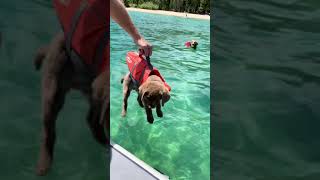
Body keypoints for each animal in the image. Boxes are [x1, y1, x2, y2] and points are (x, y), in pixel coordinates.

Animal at [33, 32, 109, 176]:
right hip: (53, 86)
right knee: (48, 130)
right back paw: (44, 163)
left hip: (88, 86)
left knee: (91, 118)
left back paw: (102, 139)